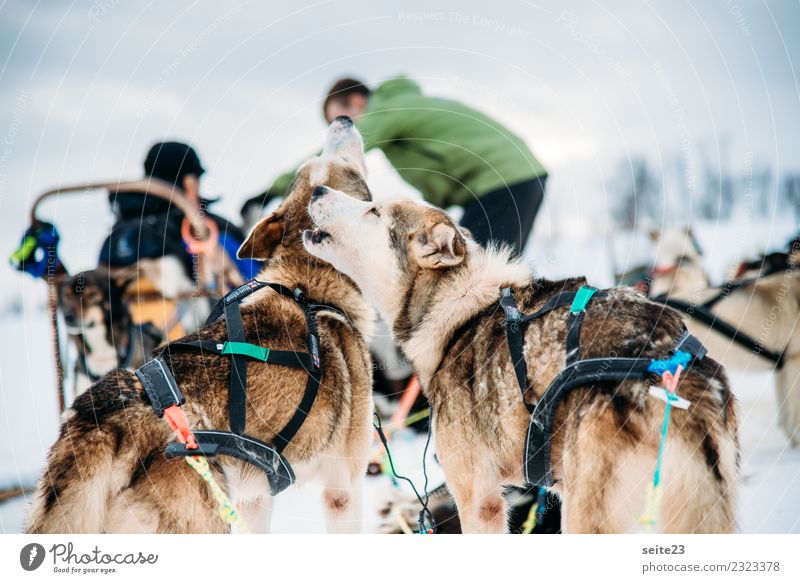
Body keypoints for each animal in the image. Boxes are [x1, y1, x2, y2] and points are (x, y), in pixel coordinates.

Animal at [26, 117, 374, 532]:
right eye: (346, 168)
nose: (342, 120)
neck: (307, 282)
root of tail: (103, 420)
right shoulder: (344, 489)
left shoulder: (255, 499)